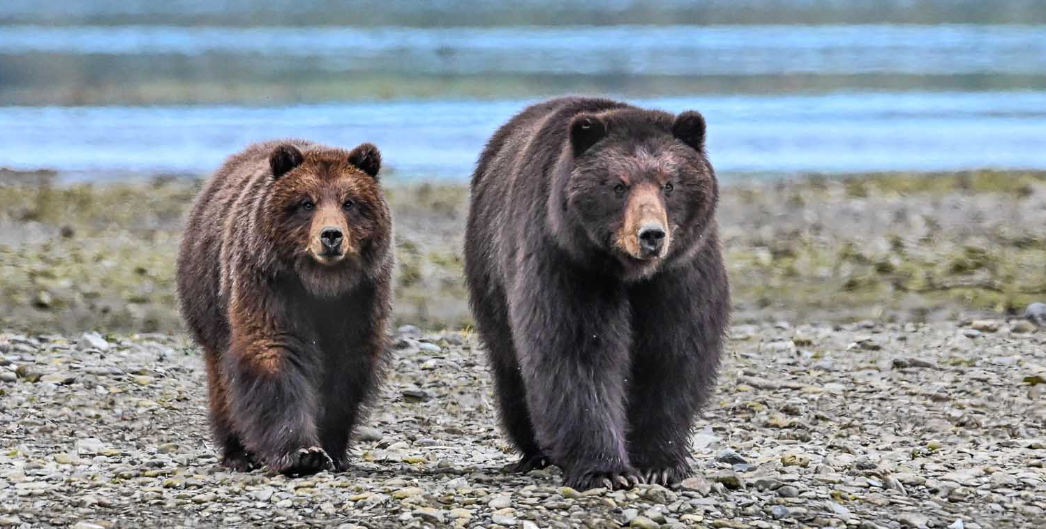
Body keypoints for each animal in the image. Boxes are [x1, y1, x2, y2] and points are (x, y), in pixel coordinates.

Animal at [177, 136, 393, 474]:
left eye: (349, 202)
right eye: (307, 202)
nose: (331, 236)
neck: (321, 285)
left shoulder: (360, 296)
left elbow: (345, 367)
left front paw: (333, 448)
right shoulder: (269, 283)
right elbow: (274, 349)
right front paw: (302, 452)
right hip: (208, 298)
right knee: (221, 377)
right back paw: (237, 453)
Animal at [462, 97, 732, 489]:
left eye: (668, 184)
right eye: (618, 186)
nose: (651, 235)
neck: (630, 274)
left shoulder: (679, 273)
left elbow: (672, 356)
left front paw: (660, 462)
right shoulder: (570, 264)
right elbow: (577, 353)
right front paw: (606, 469)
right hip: (490, 274)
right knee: (511, 365)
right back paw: (535, 451)